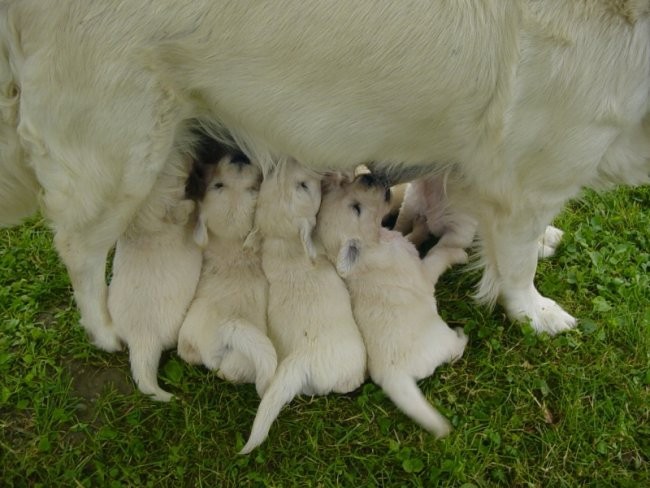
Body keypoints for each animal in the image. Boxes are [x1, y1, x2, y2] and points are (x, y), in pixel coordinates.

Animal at [0, 1, 644, 348]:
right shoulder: (528, 178)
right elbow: (516, 265)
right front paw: (535, 311)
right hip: (119, 150)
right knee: (79, 250)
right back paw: (107, 330)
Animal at [175, 152, 276, 396]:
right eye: (218, 185)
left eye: (252, 188)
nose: (240, 157)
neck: (234, 243)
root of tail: (228, 330)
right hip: (244, 361)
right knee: (230, 373)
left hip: (190, 331)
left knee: (190, 353)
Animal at [314, 174, 466, 438]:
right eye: (356, 208)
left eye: (345, 185)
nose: (367, 176)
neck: (373, 245)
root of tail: (394, 376)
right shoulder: (423, 273)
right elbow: (436, 258)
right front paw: (457, 254)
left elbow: (410, 237)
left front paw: (420, 226)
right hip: (442, 341)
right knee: (455, 350)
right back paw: (462, 337)